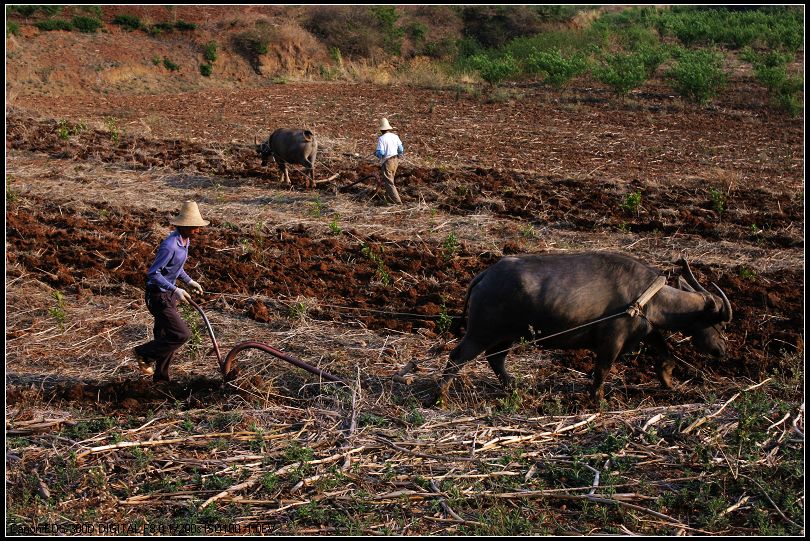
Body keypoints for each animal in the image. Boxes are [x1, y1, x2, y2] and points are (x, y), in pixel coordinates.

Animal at [430, 253, 732, 404]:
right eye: (716, 322)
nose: (722, 349)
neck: (647, 297)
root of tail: (485, 275)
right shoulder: (612, 341)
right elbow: (601, 371)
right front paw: (598, 400)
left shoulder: (646, 331)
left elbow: (665, 353)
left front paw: (668, 380)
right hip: (481, 333)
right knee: (456, 358)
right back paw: (441, 397)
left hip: (507, 335)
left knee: (496, 359)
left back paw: (515, 387)